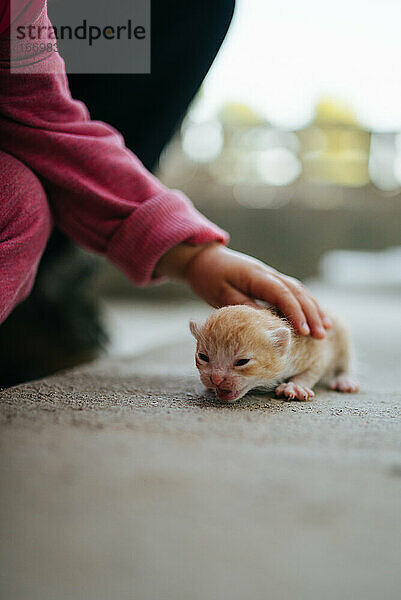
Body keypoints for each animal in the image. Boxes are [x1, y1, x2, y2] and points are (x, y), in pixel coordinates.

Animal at [189, 304, 358, 404]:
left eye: (242, 361)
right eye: (203, 357)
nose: (216, 379)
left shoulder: (314, 344)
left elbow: (313, 369)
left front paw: (296, 386)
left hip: (340, 331)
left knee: (345, 361)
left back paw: (345, 380)